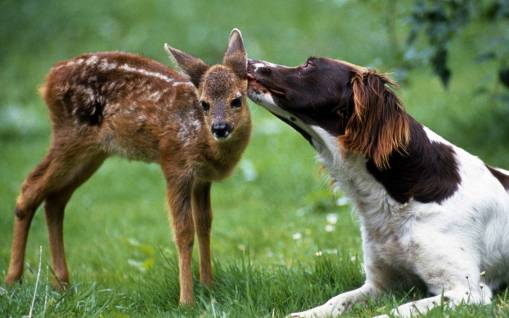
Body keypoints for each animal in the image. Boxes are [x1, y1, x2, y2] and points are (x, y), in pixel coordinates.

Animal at [246, 57, 508, 318]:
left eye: (309, 65)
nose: (249, 60)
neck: (401, 195)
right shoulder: (382, 284)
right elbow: (336, 300)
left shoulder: (465, 290)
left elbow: (398, 309)